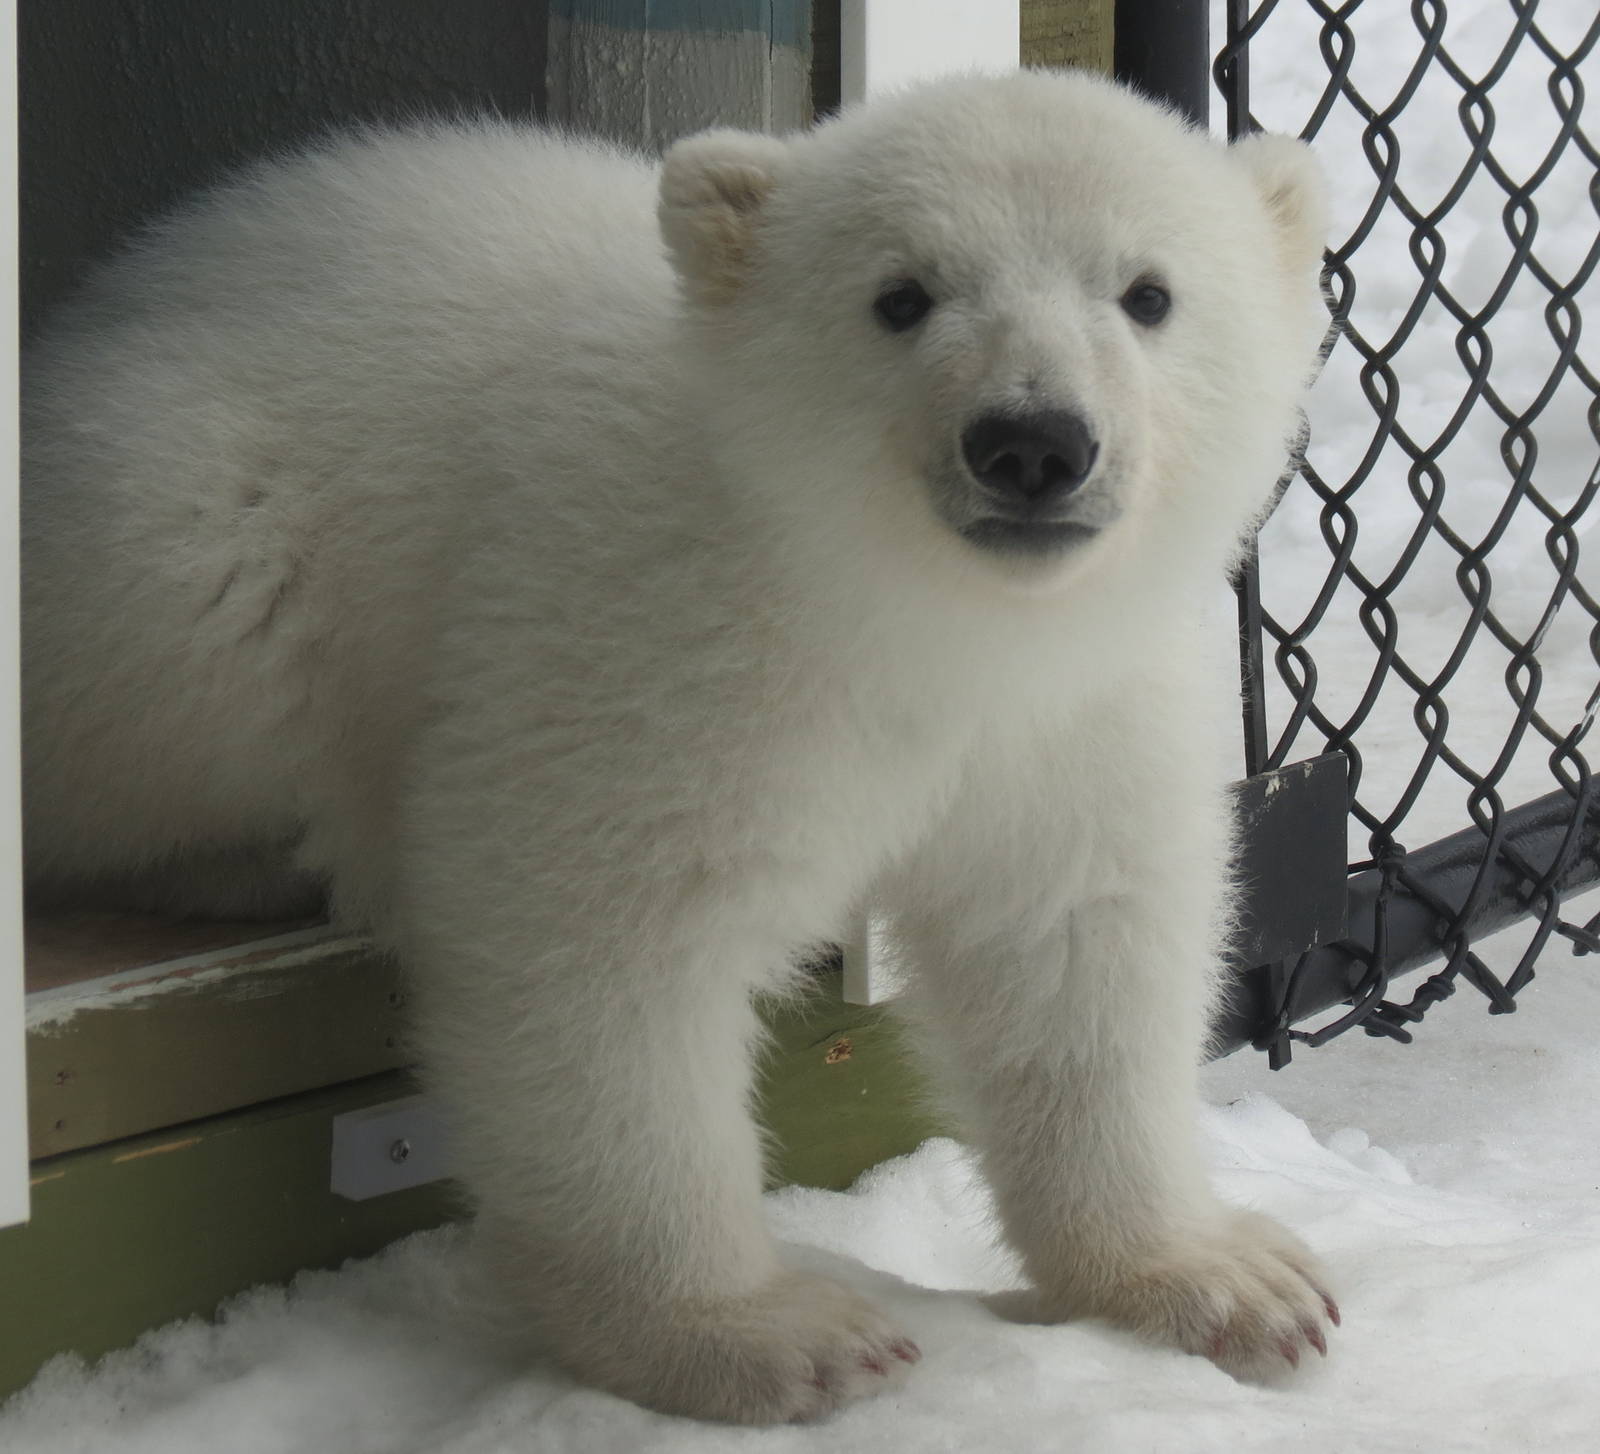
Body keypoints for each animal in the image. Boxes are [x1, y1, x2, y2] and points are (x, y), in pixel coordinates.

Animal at [21, 70, 1335, 1422]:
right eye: (901, 294)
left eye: (1147, 291)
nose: (1031, 442)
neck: (913, 614)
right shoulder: (661, 633)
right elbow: (605, 948)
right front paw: (772, 1335)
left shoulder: (1073, 702)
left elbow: (1078, 944)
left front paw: (1231, 1281)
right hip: (178, 535)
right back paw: (254, 857)